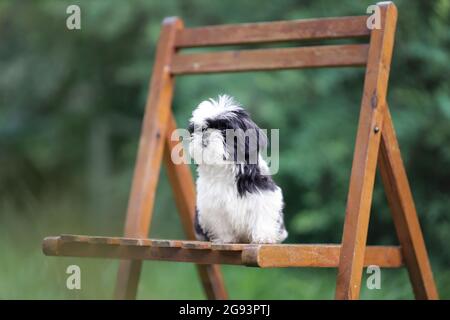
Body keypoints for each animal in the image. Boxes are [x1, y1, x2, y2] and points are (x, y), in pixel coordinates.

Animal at [187, 94, 288, 244]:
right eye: (201, 129)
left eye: (224, 131)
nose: (205, 135)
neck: (224, 168)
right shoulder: (212, 206)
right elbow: (220, 223)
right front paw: (225, 239)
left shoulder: (263, 193)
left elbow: (262, 214)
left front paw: (264, 237)